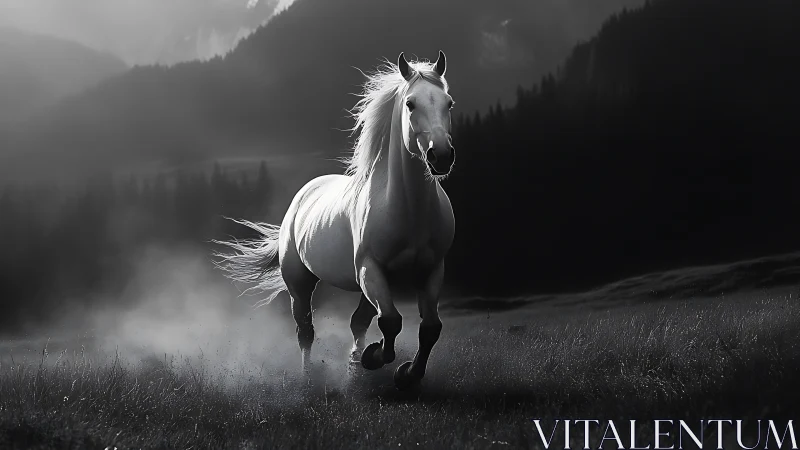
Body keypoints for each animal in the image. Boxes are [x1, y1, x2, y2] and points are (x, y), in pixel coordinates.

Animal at [213, 51, 456, 390]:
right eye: (410, 104)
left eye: (449, 103)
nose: (441, 156)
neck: (408, 211)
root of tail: (302, 196)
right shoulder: (370, 269)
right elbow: (391, 321)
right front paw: (373, 357)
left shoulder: (431, 270)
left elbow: (430, 327)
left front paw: (406, 374)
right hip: (301, 282)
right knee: (305, 329)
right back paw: (310, 376)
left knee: (359, 322)